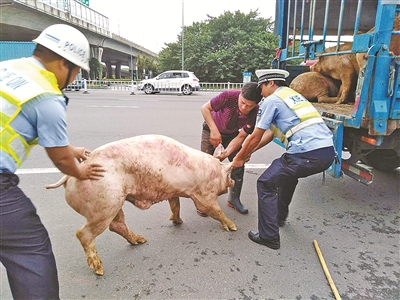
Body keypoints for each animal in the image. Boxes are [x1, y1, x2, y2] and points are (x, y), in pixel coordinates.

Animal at [45, 135, 236, 276]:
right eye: (229, 174)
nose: (233, 181)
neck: (212, 171)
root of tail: (69, 176)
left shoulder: (174, 191)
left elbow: (175, 205)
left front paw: (178, 222)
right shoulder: (203, 195)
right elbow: (215, 210)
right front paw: (233, 227)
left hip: (115, 202)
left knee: (117, 225)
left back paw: (140, 240)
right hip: (105, 205)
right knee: (83, 233)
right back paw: (99, 269)